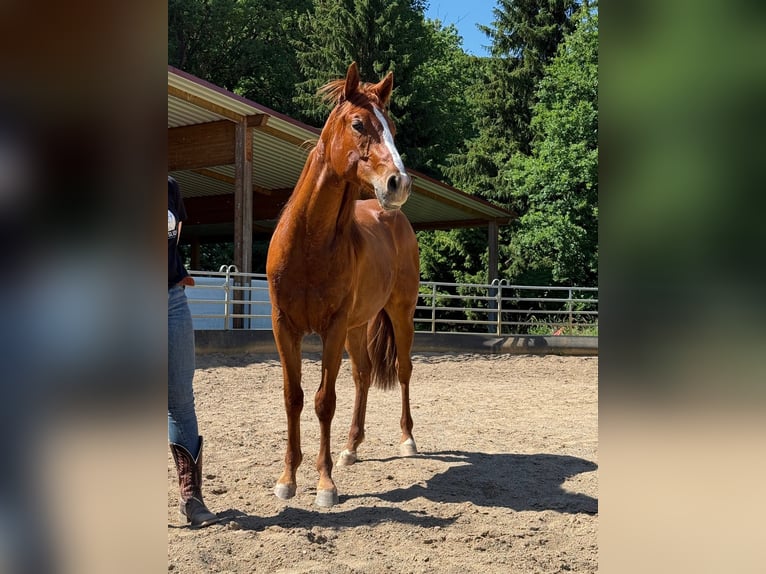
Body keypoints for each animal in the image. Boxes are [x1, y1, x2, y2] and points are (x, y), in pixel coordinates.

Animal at [265, 62, 419, 508]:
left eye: (392, 128)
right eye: (358, 123)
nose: (398, 183)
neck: (308, 244)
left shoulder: (331, 328)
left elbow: (323, 401)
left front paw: (325, 483)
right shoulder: (284, 327)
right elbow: (294, 397)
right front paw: (287, 478)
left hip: (399, 314)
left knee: (402, 370)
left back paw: (407, 440)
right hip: (358, 326)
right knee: (363, 376)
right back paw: (351, 447)